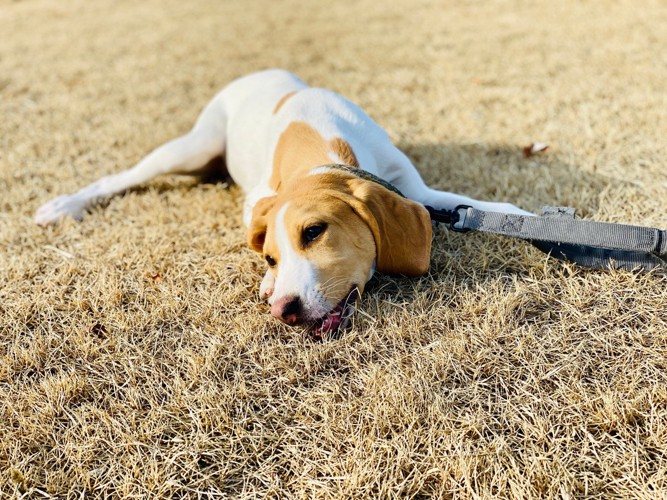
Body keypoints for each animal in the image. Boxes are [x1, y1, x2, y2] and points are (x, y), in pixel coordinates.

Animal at [36, 68, 528, 338]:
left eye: (314, 231)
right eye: (270, 256)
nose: (284, 311)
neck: (323, 146)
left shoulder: (416, 191)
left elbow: (473, 204)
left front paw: (526, 218)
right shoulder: (257, 200)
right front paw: (269, 283)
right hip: (191, 147)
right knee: (121, 177)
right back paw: (64, 206)